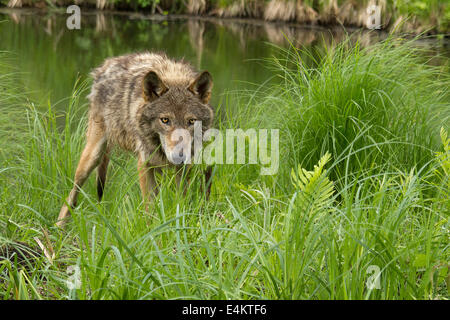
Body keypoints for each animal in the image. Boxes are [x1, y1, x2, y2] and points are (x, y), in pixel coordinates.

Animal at [56, 52, 214, 226]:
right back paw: (59, 225)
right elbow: (149, 205)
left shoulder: (183, 168)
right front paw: (151, 228)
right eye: (165, 120)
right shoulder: (144, 163)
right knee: (72, 192)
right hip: (92, 157)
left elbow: (181, 201)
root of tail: (107, 63)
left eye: (191, 121)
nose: (179, 156)